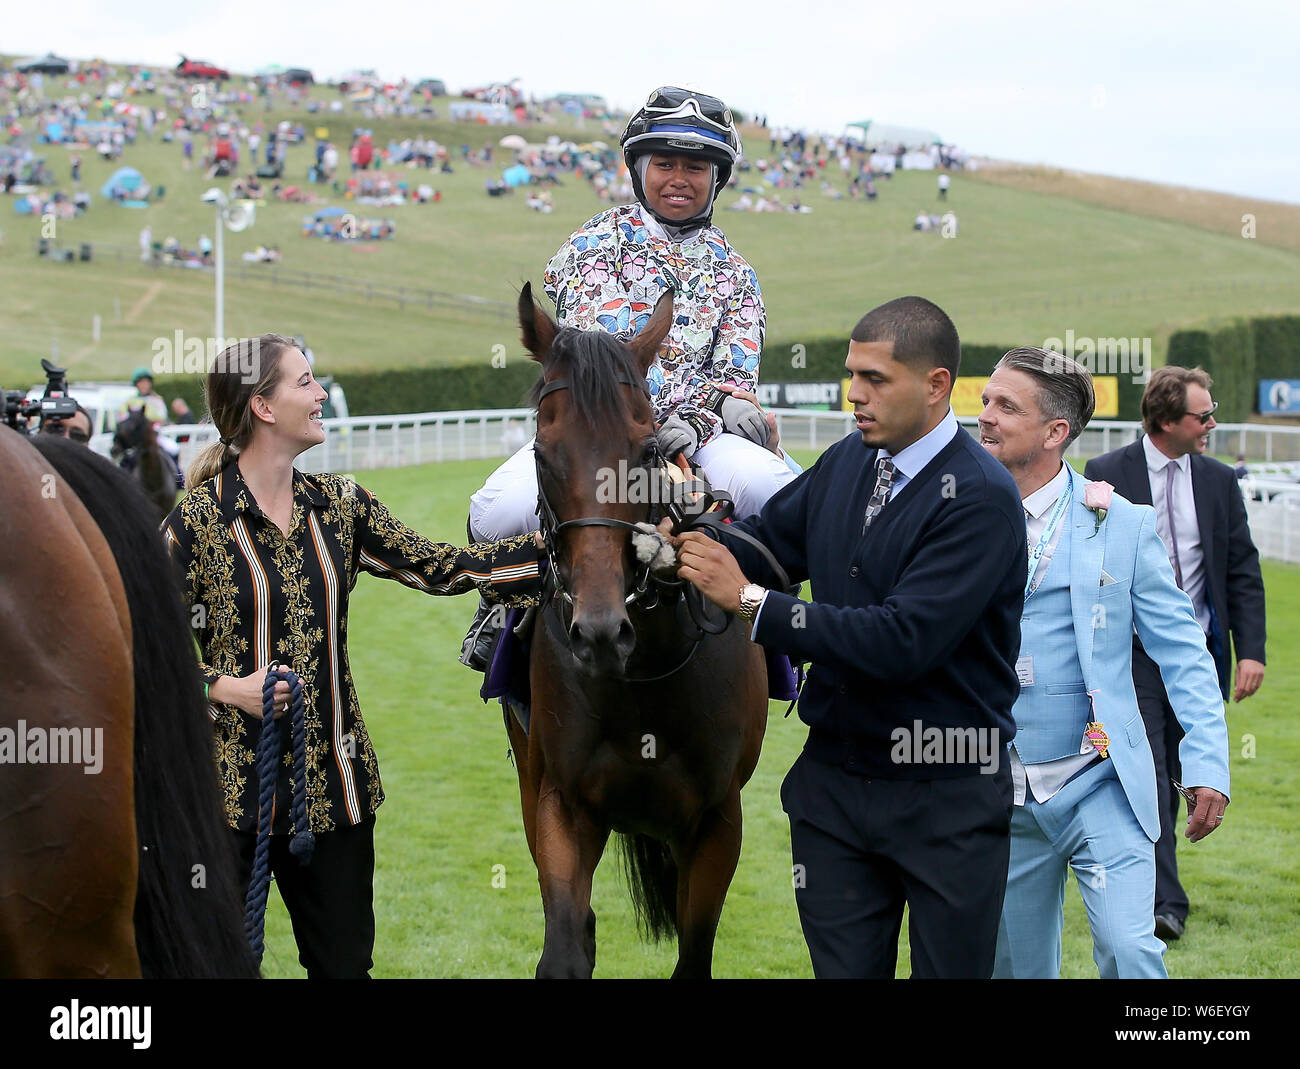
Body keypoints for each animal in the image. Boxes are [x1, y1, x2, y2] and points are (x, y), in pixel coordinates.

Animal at [504, 286, 769, 977]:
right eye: (542, 452)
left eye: (647, 448)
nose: (600, 632)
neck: (645, 674)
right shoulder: (563, 804)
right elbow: (565, 947)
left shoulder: (716, 821)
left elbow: (694, 955)